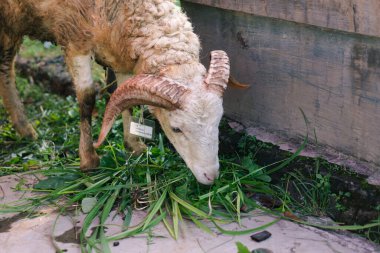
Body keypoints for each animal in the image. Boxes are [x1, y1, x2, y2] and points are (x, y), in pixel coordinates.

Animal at [0, 0, 230, 185]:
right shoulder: (74, 38)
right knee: (5, 68)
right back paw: (25, 128)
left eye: (218, 121)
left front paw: (134, 147)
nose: (211, 176)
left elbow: (126, 100)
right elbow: (87, 99)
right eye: (176, 129)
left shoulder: (119, 56)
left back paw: (24, 130)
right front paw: (89, 159)